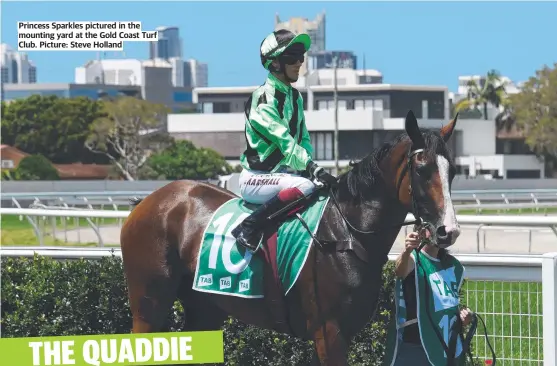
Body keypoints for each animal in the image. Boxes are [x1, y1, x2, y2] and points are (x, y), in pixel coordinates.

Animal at [119, 110, 458, 364]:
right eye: (422, 169)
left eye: (452, 171)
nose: (448, 230)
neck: (346, 235)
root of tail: (148, 202)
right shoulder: (329, 333)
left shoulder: (337, 334)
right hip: (149, 304)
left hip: (205, 307)